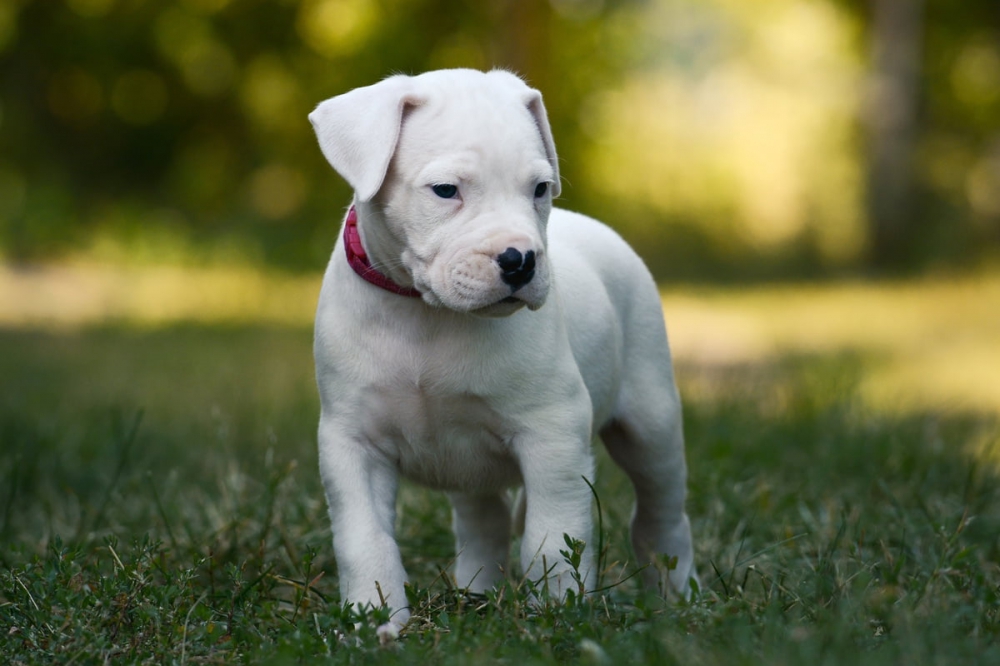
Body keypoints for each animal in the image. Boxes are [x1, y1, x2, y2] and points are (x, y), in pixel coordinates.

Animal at [310, 67, 696, 632]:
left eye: (539, 189)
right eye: (445, 191)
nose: (521, 260)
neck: (427, 315)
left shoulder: (553, 434)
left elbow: (552, 537)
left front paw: (558, 612)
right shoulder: (352, 442)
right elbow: (364, 538)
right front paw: (374, 617)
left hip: (651, 423)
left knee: (661, 509)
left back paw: (675, 592)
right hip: (469, 466)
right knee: (483, 521)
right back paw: (476, 594)